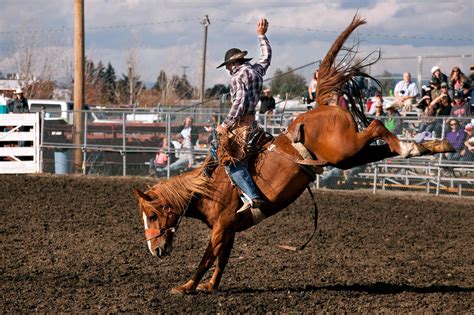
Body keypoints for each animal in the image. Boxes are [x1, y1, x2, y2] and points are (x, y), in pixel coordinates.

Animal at [132, 15, 452, 296]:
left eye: (152, 214)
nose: (155, 250)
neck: (209, 188)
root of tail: (322, 105)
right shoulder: (230, 229)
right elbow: (221, 260)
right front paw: (210, 287)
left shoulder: (222, 226)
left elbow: (207, 257)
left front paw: (186, 287)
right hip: (346, 156)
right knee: (380, 149)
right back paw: (431, 147)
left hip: (344, 148)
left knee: (374, 125)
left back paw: (413, 145)